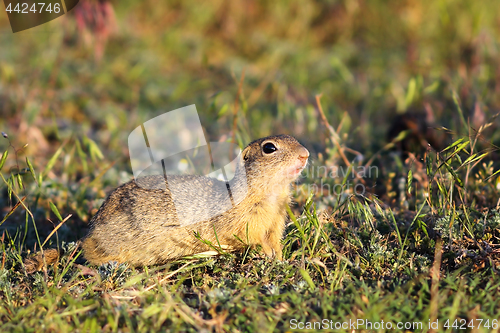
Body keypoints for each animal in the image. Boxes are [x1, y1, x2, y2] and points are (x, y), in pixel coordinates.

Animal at [27, 133, 310, 270]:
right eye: (269, 148)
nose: (306, 154)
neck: (270, 194)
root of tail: (89, 234)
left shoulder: (277, 220)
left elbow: (274, 240)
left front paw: (280, 257)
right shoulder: (244, 221)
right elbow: (249, 237)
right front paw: (267, 255)